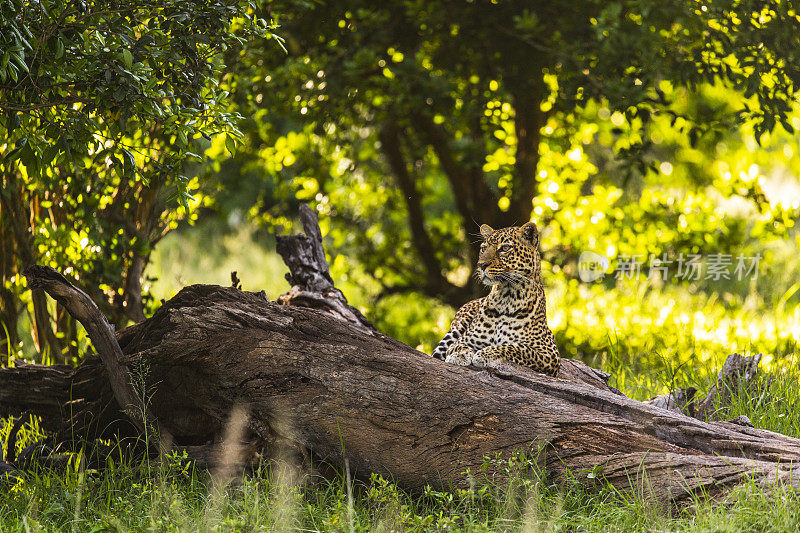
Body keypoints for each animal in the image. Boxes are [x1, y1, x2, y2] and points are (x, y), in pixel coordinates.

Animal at [432, 219, 564, 374]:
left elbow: (516, 348)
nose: (481, 265)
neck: (506, 297)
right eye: (483, 248)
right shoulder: (466, 339)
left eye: (505, 248)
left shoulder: (549, 352)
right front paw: (459, 354)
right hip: (456, 328)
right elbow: (457, 345)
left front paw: (484, 354)